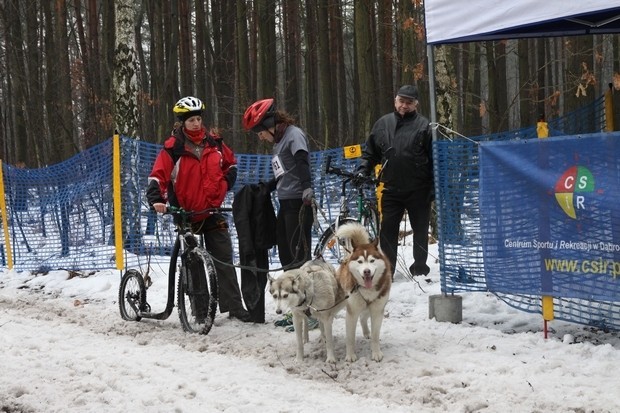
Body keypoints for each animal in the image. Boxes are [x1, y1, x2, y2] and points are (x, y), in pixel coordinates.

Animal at [334, 222, 392, 360]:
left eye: (372, 260)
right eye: (360, 261)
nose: (366, 271)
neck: (367, 290)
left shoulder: (377, 310)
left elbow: (376, 336)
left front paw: (376, 352)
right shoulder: (352, 312)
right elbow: (350, 338)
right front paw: (350, 355)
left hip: (368, 306)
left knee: (363, 317)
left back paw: (366, 332)